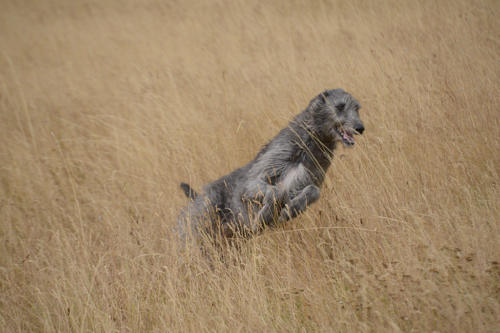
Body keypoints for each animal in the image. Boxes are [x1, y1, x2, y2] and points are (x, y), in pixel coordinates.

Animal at [178, 89, 366, 243]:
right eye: (340, 106)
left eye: (357, 108)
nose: (360, 128)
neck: (307, 144)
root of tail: (196, 197)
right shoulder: (253, 181)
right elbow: (274, 191)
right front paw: (265, 215)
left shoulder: (306, 181)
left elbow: (313, 191)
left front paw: (290, 211)